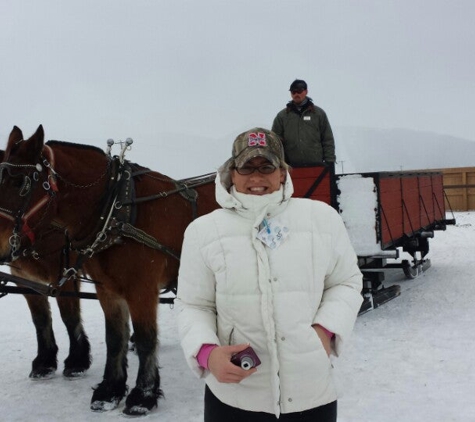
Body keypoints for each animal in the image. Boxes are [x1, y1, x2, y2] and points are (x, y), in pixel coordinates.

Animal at [0, 126, 218, 416]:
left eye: (20, 183)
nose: (0, 246)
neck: (118, 211)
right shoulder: (106, 289)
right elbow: (113, 337)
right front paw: (109, 391)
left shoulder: (140, 288)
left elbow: (146, 338)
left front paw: (142, 396)